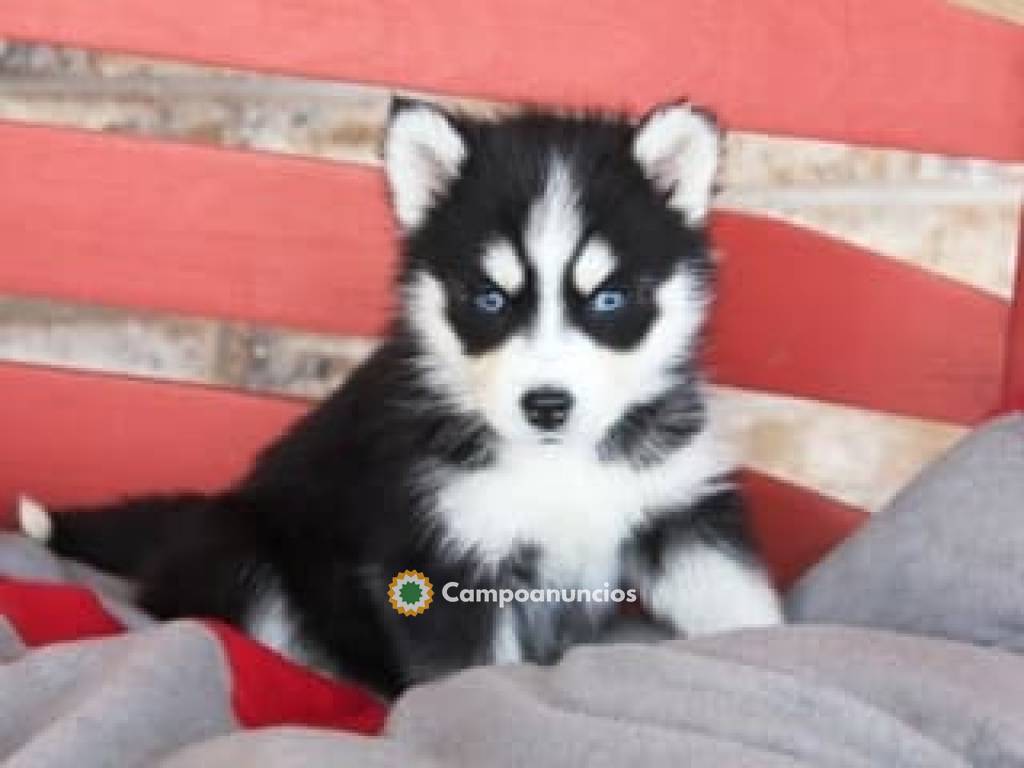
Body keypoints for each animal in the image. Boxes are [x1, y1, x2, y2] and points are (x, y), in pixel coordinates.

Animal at [18, 100, 782, 696]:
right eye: (489, 299)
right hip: (245, 550)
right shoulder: (441, 555)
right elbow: (467, 678)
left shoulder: (680, 511)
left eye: (610, 299)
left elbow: (741, 608)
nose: (546, 405)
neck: (556, 460)